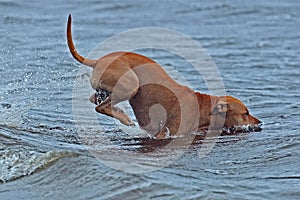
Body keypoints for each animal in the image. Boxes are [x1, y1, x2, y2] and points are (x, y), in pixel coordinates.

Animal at [66, 14, 260, 138]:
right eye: (245, 113)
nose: (260, 123)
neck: (204, 107)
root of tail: (97, 60)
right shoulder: (167, 134)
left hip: (109, 88)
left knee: (95, 100)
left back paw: (120, 112)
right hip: (131, 85)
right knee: (100, 107)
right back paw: (125, 119)